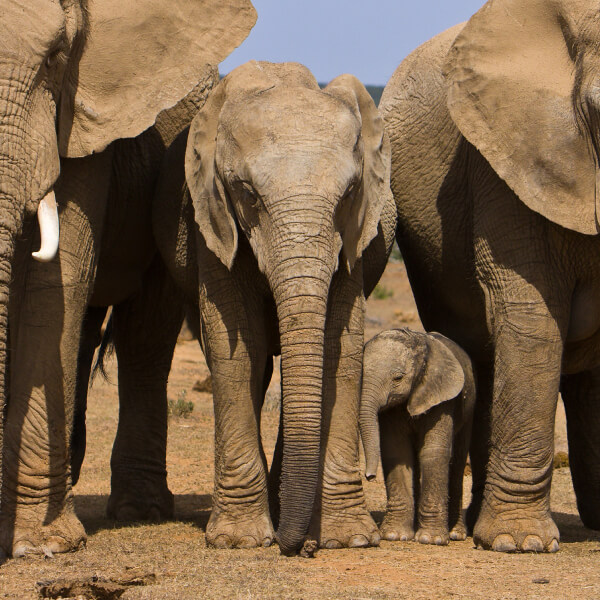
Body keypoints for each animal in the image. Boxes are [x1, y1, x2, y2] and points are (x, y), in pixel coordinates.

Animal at [0, 2, 255, 560]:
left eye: (55, 58)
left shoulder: (78, 119)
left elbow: (54, 286)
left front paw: (41, 544)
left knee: (144, 339)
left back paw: (140, 508)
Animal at [154, 59, 398, 552]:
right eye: (248, 193)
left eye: (349, 193)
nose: (295, 546)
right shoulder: (213, 221)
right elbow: (237, 346)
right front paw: (239, 540)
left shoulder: (353, 238)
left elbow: (341, 346)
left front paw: (347, 539)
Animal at [358, 330, 476, 548]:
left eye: (398, 378)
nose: (369, 476)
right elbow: (397, 451)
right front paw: (395, 536)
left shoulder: (443, 398)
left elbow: (434, 452)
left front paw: (432, 539)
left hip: (469, 411)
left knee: (457, 463)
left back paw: (456, 534)